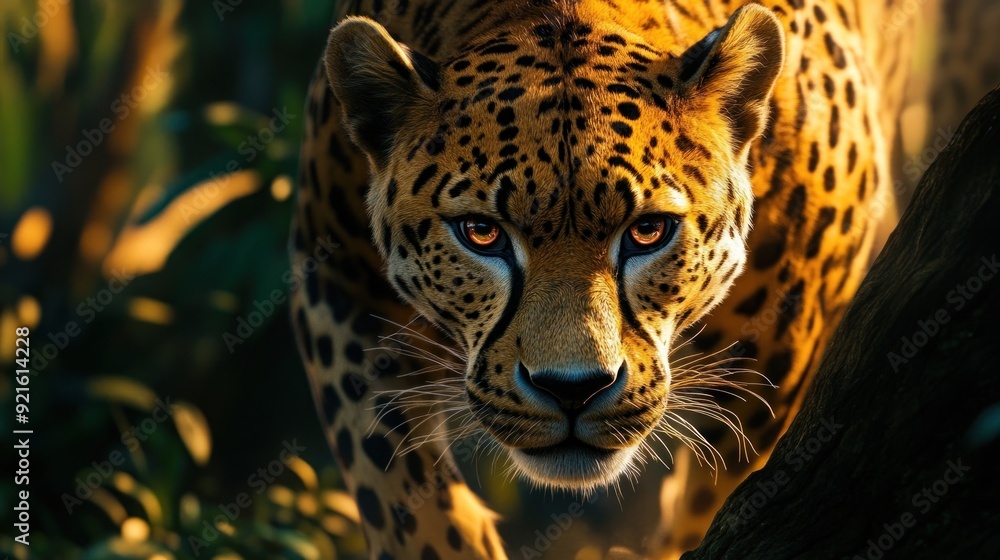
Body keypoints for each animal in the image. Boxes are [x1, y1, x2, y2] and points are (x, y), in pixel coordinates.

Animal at [288, 1, 992, 558]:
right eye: (480, 233)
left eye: (649, 232)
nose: (572, 390)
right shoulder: (336, 285)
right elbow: (408, 501)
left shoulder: (786, 342)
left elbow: (724, 492)